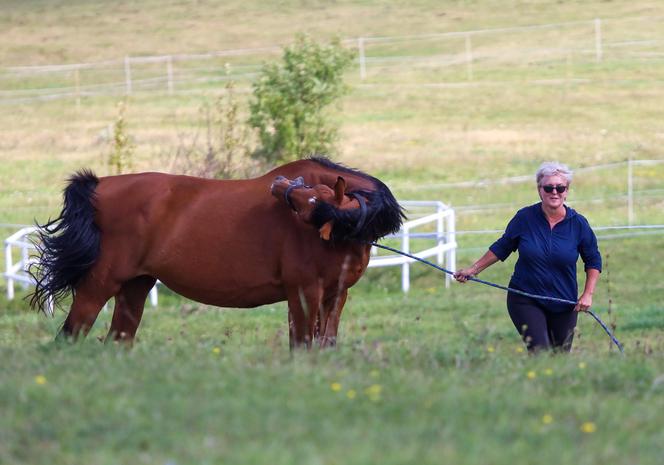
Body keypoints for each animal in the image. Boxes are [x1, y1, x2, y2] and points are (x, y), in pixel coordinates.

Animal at [29, 157, 404, 348]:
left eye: (311, 202)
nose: (280, 184)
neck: (337, 234)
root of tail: (100, 186)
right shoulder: (304, 291)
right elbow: (302, 343)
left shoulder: (334, 295)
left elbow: (325, 341)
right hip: (99, 286)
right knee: (70, 334)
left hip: (135, 287)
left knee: (118, 340)